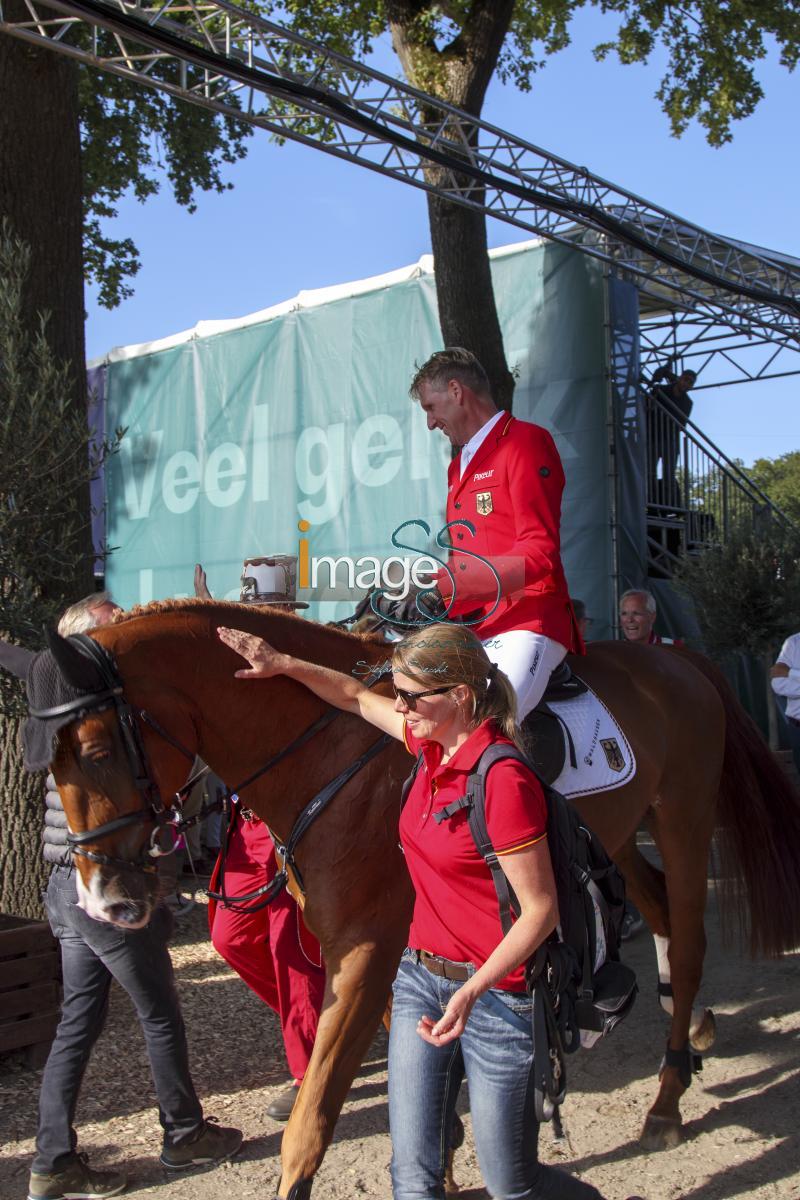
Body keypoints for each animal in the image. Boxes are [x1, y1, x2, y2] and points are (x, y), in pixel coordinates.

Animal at [18, 604, 800, 1195]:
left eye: (95, 753)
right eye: (45, 765)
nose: (102, 903)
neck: (330, 746)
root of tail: (676, 659)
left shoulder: (363, 950)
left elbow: (312, 1123)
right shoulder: (394, 947)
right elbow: (423, 1064)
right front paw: (445, 1159)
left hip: (682, 819)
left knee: (690, 939)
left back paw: (667, 1099)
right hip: (615, 835)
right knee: (661, 913)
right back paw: (694, 1032)